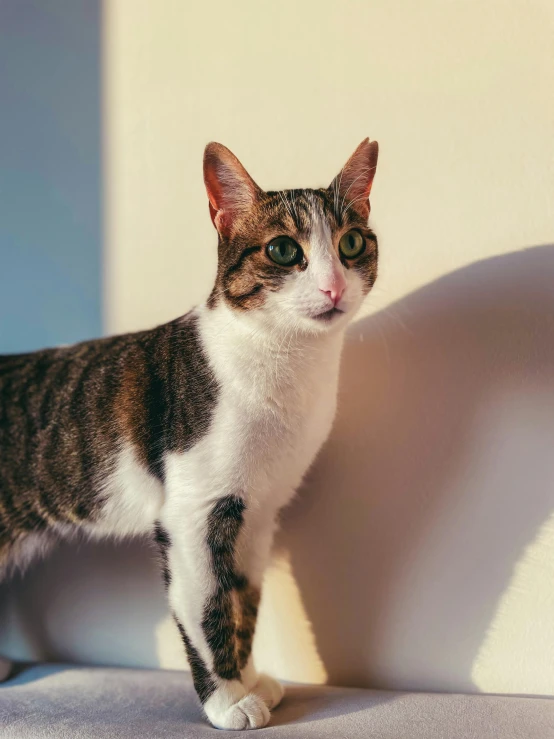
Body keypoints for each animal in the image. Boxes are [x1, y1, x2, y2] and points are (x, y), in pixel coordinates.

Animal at [0, 137, 376, 728]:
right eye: (283, 251)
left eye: (353, 243)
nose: (333, 286)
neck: (285, 364)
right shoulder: (196, 510)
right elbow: (208, 606)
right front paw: (227, 701)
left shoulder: (256, 512)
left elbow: (243, 597)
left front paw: (251, 680)